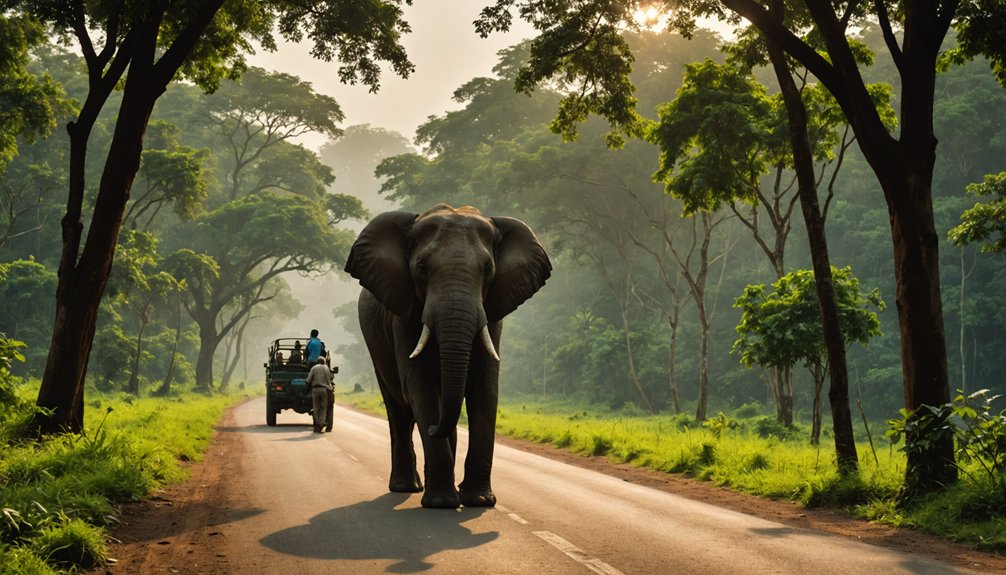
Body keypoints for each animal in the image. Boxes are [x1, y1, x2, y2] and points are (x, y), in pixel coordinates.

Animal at [344, 203, 551, 506]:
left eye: (488, 269)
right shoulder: (402, 313)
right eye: (421, 267)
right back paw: (406, 487)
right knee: (398, 408)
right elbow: (419, 386)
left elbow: (484, 387)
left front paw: (479, 501)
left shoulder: (492, 312)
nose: (432, 429)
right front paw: (441, 503)